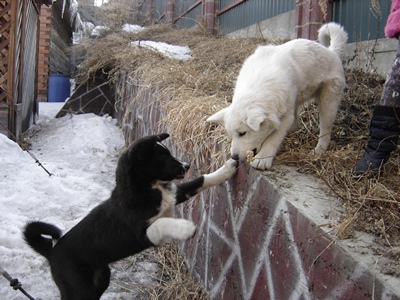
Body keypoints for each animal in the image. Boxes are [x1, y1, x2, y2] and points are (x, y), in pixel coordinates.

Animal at [22, 134, 238, 300]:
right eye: (164, 157)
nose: (187, 165)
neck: (146, 189)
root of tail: (51, 252)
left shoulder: (175, 194)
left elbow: (201, 180)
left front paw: (227, 168)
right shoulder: (141, 234)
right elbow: (162, 223)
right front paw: (184, 228)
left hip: (101, 277)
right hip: (78, 287)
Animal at [206, 22, 346, 170]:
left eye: (242, 133)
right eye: (232, 134)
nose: (234, 157)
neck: (258, 83)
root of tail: (332, 51)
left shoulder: (284, 117)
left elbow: (273, 138)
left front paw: (262, 159)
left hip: (329, 100)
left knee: (325, 129)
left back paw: (318, 150)